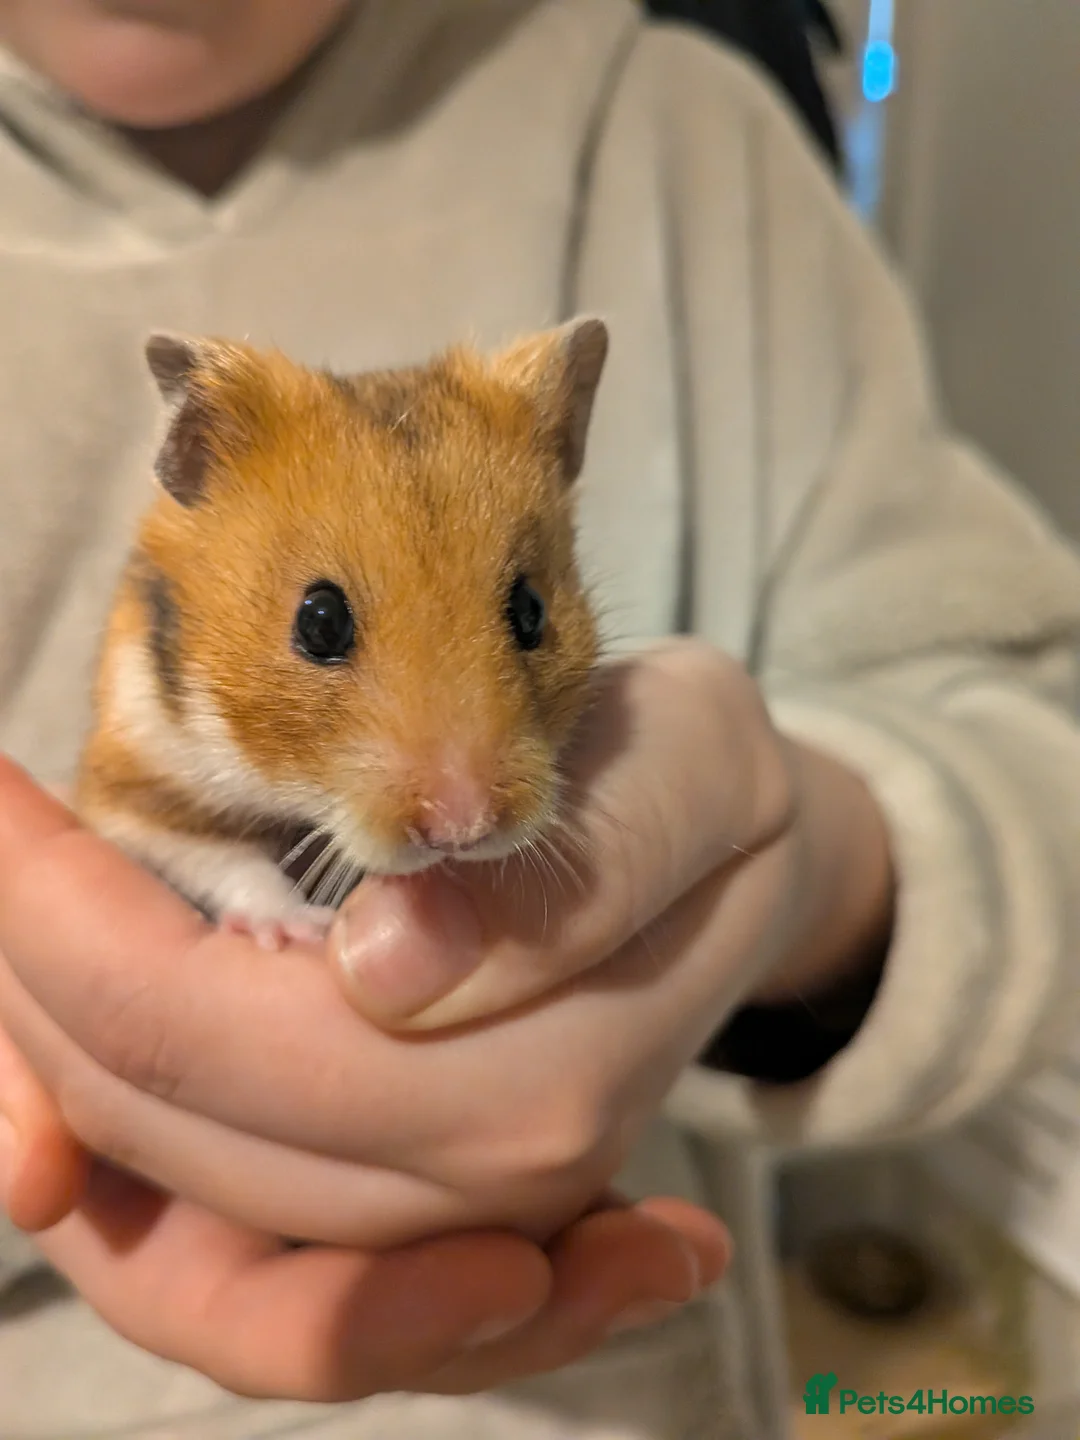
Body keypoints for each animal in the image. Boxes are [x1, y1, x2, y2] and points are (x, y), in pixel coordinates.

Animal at [74, 318, 607, 949]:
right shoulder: (129, 789)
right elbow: (226, 860)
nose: (464, 829)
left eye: (531, 611)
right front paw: (301, 930)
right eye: (320, 621)